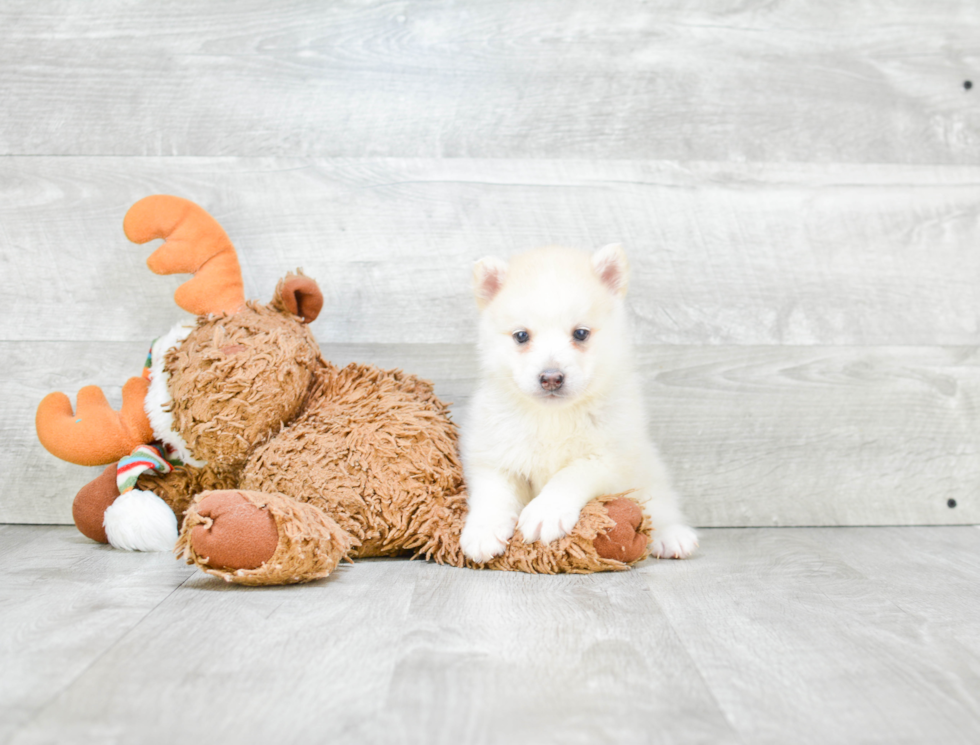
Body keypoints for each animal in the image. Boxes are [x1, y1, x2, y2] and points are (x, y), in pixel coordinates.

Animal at [460, 244, 696, 564]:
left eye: (580, 333)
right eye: (521, 336)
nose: (551, 378)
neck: (552, 417)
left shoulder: (608, 457)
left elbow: (569, 475)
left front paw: (546, 511)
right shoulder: (494, 456)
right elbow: (493, 494)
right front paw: (483, 531)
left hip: (650, 475)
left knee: (660, 507)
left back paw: (671, 535)